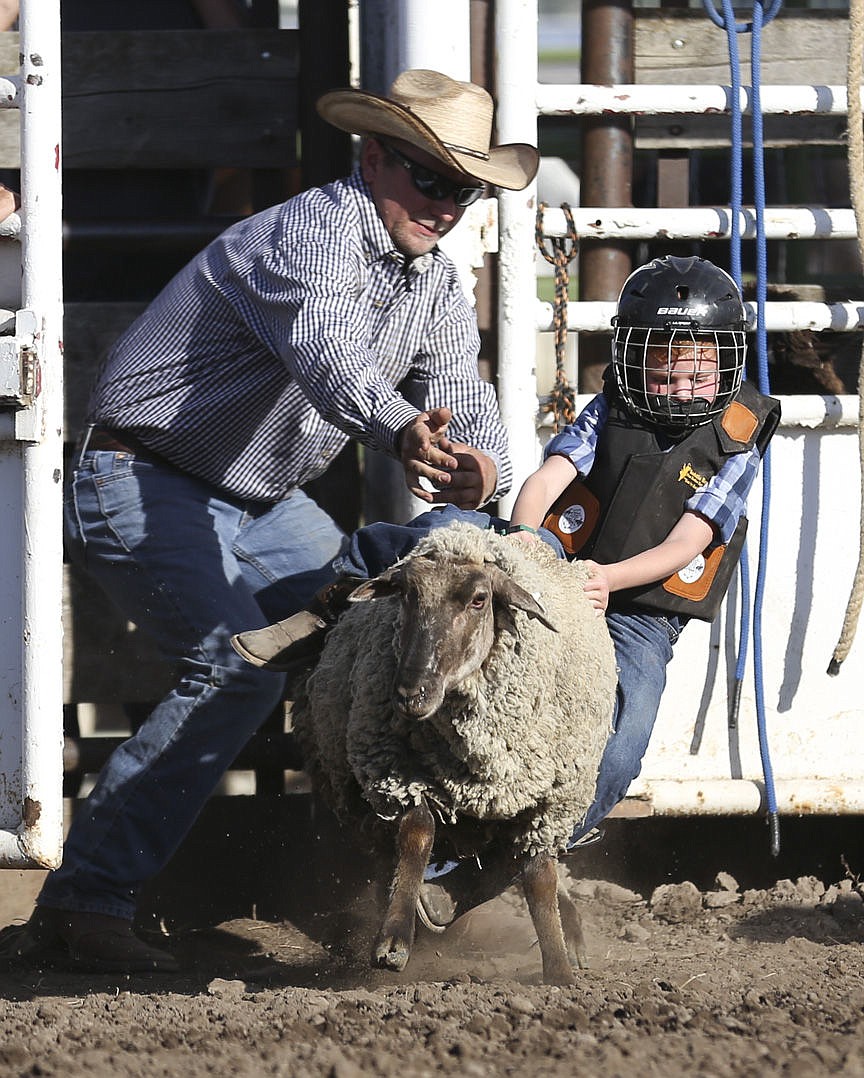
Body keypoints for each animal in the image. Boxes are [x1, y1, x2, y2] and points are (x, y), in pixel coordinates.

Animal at [293, 517, 616, 983]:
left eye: (480, 599)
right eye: (406, 594)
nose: (411, 694)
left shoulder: (551, 800)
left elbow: (539, 877)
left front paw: (558, 971)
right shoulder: (399, 773)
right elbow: (417, 832)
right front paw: (393, 940)